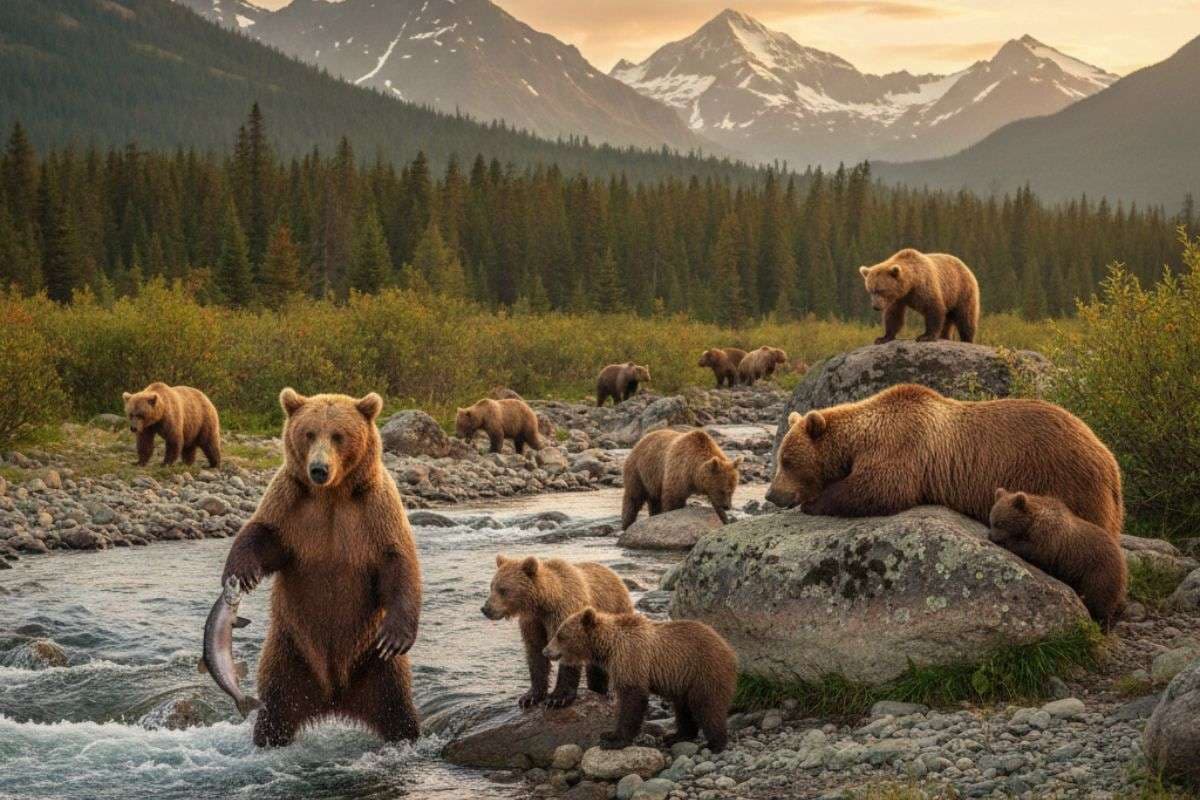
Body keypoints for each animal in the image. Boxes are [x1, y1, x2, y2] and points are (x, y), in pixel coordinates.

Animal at [221, 388, 422, 747]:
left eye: (339, 435)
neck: (333, 495)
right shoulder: (292, 506)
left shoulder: (374, 510)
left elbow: (397, 561)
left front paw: (396, 635)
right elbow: (263, 533)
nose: (318, 469)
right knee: (275, 709)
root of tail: (333, 696)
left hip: (376, 666)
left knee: (397, 711)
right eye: (309, 433)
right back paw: (268, 738)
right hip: (289, 654)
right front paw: (242, 571)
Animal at [482, 555, 634, 709]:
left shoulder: (564, 614)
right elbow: (535, 652)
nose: (485, 609)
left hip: (615, 611)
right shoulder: (533, 621)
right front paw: (529, 697)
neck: (545, 602)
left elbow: (567, 652)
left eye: (503, 589)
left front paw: (557, 698)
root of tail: (615, 575)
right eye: (491, 587)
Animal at [544, 608, 737, 753]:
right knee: (684, 708)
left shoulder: (632, 658)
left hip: (703, 670)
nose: (545, 651)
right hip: (684, 680)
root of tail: (728, 648)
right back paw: (676, 736)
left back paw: (715, 743)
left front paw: (614, 739)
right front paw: (609, 734)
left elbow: (632, 699)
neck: (609, 647)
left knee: (707, 706)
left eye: (560, 635)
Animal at [766, 384, 1124, 540]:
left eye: (786, 460)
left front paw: (815, 501)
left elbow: (881, 489)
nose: (771, 495)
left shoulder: (902, 444)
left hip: (1064, 479)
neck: (859, 441)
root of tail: (1111, 462)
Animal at [990, 488, 1128, 631]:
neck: (1031, 521)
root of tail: (1123, 561)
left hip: (1098, 572)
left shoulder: (1049, 536)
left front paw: (1009, 543)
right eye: (992, 520)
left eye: (1000, 523)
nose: (991, 537)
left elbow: (1037, 551)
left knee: (1098, 600)